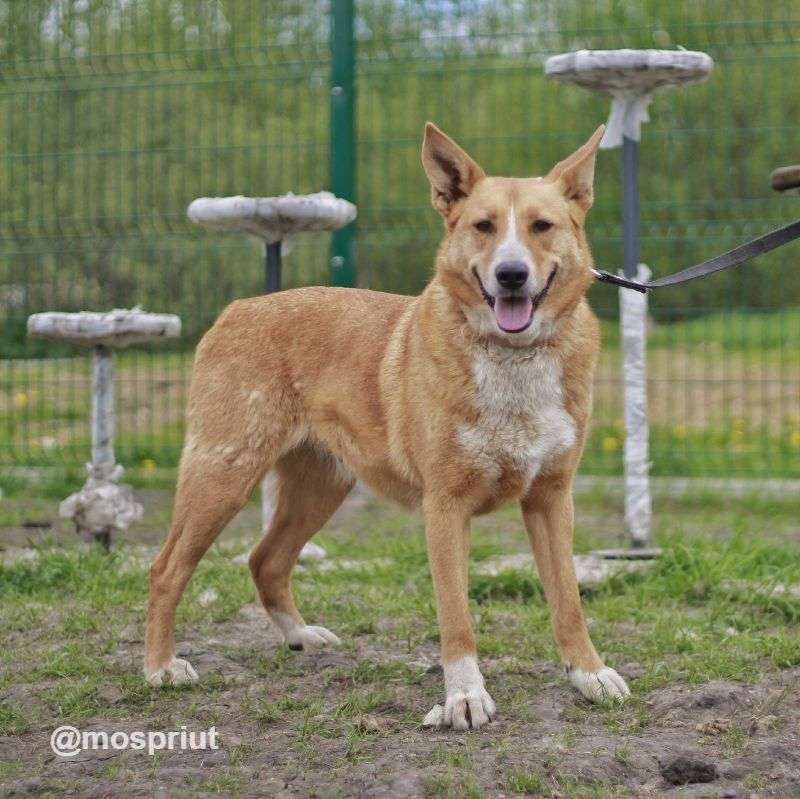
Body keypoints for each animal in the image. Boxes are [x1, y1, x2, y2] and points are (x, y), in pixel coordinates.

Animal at [145, 123, 632, 732]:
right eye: (483, 226)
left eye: (542, 226)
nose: (511, 275)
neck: (511, 359)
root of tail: (238, 309)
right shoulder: (445, 508)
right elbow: (456, 617)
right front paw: (463, 698)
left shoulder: (551, 498)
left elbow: (568, 601)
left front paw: (589, 674)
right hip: (224, 476)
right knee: (165, 570)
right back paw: (161, 667)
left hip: (321, 487)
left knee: (265, 561)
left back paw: (300, 636)